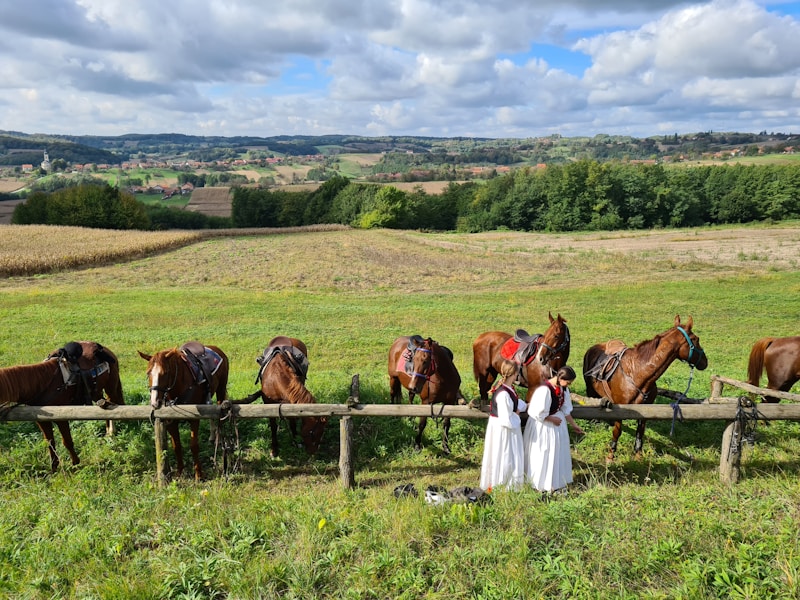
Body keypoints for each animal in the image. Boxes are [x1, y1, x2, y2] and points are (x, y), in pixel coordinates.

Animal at [0, 342, 123, 474]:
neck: (41, 384)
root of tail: (107, 350)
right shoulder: (42, 421)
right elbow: (50, 442)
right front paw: (53, 468)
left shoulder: (61, 417)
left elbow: (67, 441)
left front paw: (75, 463)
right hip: (96, 393)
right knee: (104, 404)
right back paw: (108, 433)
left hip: (111, 387)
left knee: (112, 404)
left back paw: (111, 432)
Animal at [138, 342, 228, 478]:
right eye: (148, 373)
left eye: (165, 373)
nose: (155, 402)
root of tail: (217, 349)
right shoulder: (171, 422)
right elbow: (177, 446)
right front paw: (180, 473)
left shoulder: (194, 419)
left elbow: (193, 446)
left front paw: (198, 474)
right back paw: (212, 437)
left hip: (221, 391)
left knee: (219, 416)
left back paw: (218, 438)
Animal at [580, 316, 708, 462]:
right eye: (696, 339)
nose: (705, 362)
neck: (638, 373)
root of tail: (593, 348)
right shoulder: (620, 410)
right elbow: (617, 432)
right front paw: (610, 455)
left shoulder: (645, 411)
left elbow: (639, 434)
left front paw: (638, 456)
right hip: (590, 387)